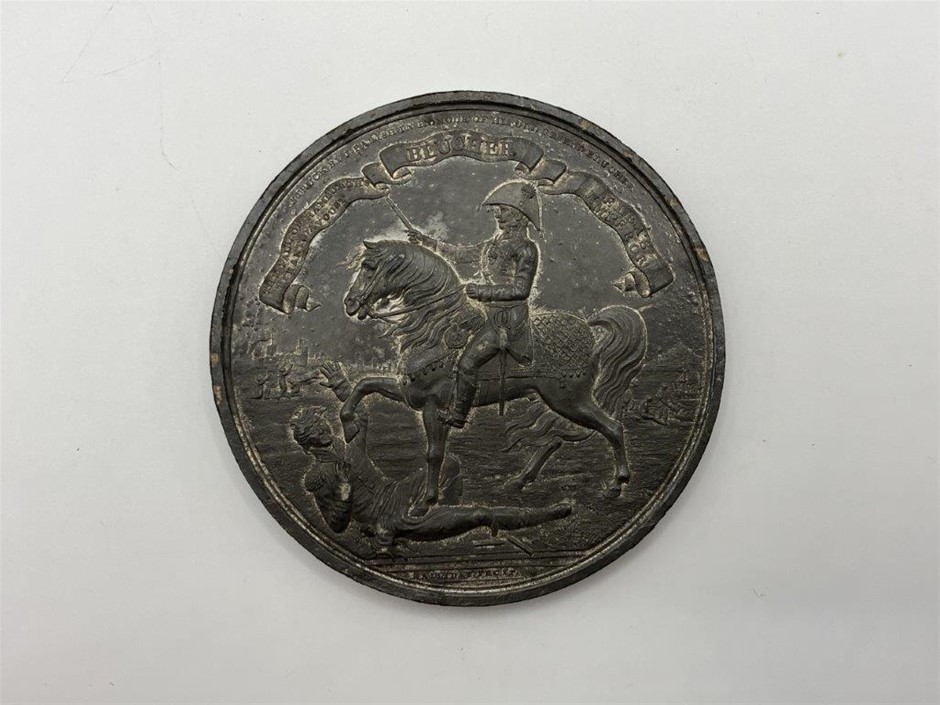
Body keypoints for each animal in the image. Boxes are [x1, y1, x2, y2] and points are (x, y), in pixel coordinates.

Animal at [340, 239, 648, 509]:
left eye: (368, 266)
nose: (350, 303)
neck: (437, 330)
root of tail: (588, 330)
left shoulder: (433, 405)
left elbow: (434, 453)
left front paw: (428, 499)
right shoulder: (408, 392)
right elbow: (363, 385)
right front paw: (349, 427)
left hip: (569, 399)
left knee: (611, 428)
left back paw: (616, 484)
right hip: (559, 400)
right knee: (557, 437)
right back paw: (520, 480)